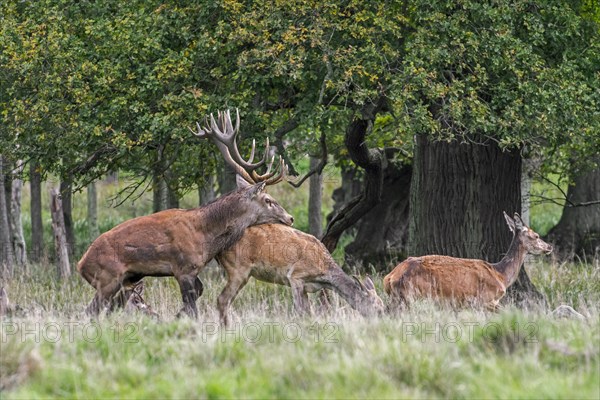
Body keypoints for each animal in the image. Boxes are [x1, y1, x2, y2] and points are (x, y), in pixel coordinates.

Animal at [78, 108, 294, 316]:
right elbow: (192, 308)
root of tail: (81, 264)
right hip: (107, 278)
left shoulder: (193, 271)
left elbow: (198, 293)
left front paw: (176, 315)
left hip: (125, 279)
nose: (290, 218)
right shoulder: (184, 268)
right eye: (268, 200)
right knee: (90, 311)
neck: (207, 237)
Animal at [216, 223, 384, 326]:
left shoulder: (306, 286)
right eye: (376, 308)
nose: (382, 322)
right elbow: (299, 310)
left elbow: (308, 312)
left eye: (382, 305)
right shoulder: (296, 275)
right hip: (238, 268)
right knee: (222, 299)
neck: (322, 273)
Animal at [384, 212, 552, 310]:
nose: (549, 246)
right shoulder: (485, 300)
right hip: (416, 296)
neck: (501, 276)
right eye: (536, 236)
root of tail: (390, 278)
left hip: (398, 298)